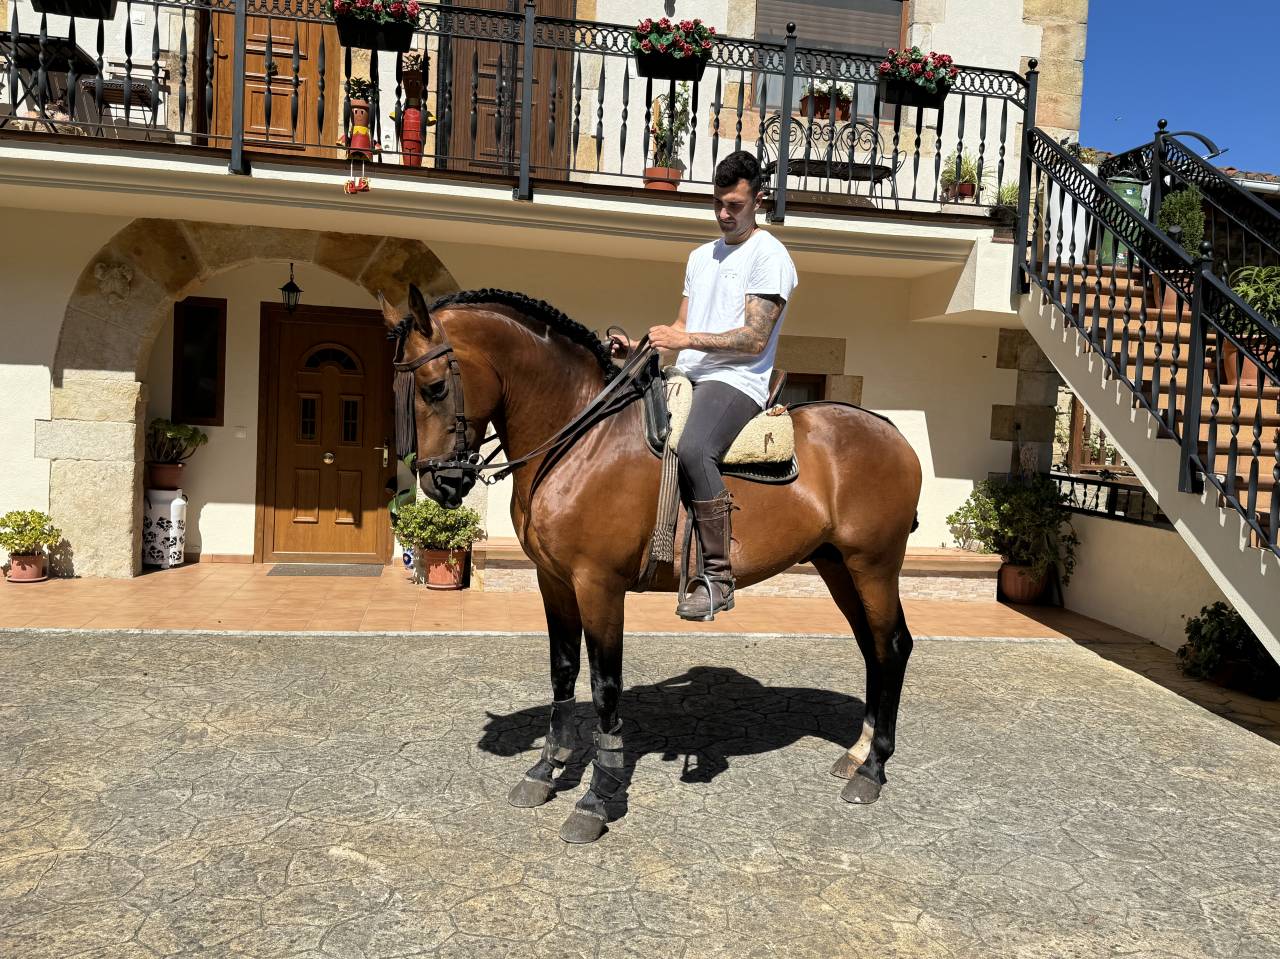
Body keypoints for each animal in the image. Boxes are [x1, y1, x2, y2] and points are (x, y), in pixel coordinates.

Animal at [382, 284, 922, 844]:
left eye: (434, 387)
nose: (439, 483)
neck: (581, 438)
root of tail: (891, 432)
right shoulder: (553, 581)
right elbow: (562, 671)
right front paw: (545, 770)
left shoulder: (597, 584)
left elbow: (604, 687)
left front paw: (597, 798)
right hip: (836, 565)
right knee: (872, 647)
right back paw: (857, 752)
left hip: (874, 565)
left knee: (892, 645)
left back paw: (872, 769)